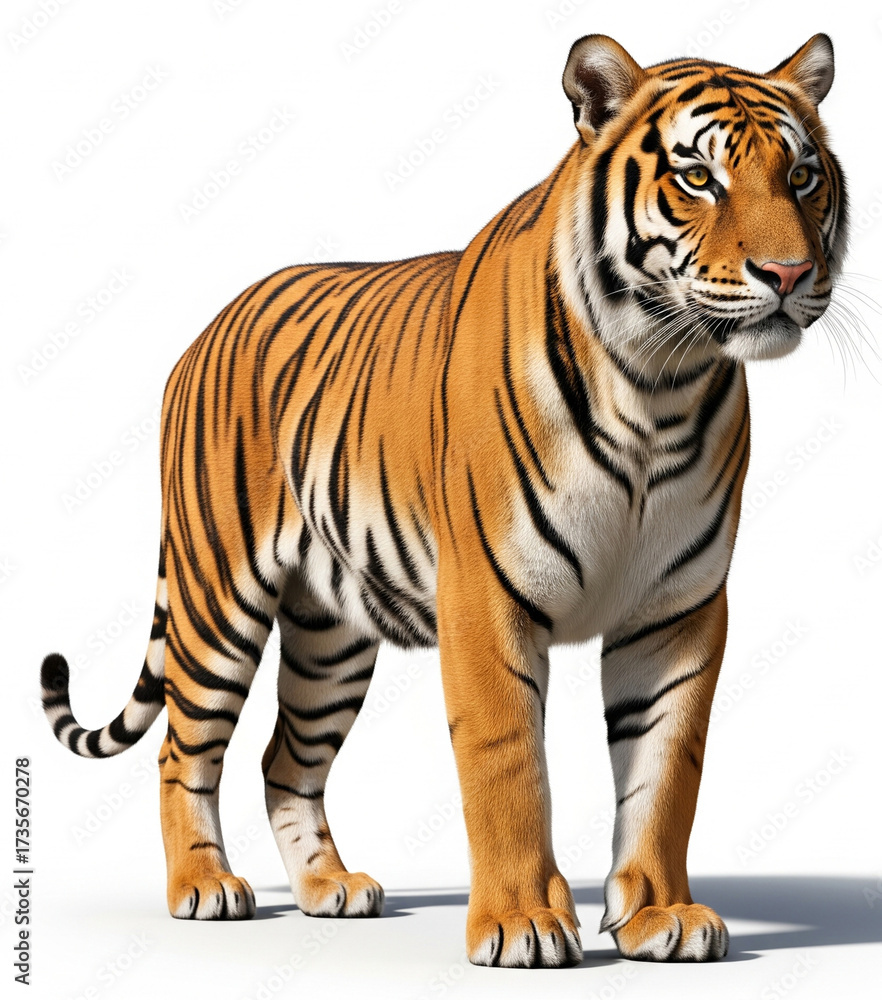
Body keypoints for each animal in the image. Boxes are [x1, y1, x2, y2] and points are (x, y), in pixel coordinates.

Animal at [41, 33, 847, 968]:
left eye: (802, 176)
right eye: (697, 177)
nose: (788, 272)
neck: (659, 382)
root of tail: (205, 330)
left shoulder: (678, 610)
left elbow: (665, 769)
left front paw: (660, 917)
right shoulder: (486, 598)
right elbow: (507, 762)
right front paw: (522, 923)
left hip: (330, 636)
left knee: (286, 760)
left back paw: (329, 888)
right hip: (217, 598)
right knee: (182, 750)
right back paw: (203, 887)